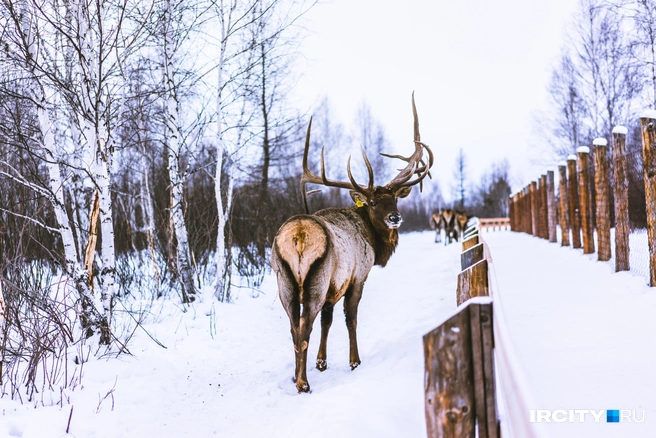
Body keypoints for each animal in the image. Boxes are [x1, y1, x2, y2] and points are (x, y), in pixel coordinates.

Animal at [270, 96, 434, 394]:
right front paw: (354, 361)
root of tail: (298, 235)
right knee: (304, 328)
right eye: (372, 202)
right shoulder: (358, 276)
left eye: (395, 199)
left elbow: (328, 321)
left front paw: (322, 362)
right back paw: (303, 383)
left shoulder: (333, 288)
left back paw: (296, 376)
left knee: (293, 328)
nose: (395, 218)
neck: (374, 244)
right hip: (315, 280)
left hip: (284, 283)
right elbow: (351, 318)